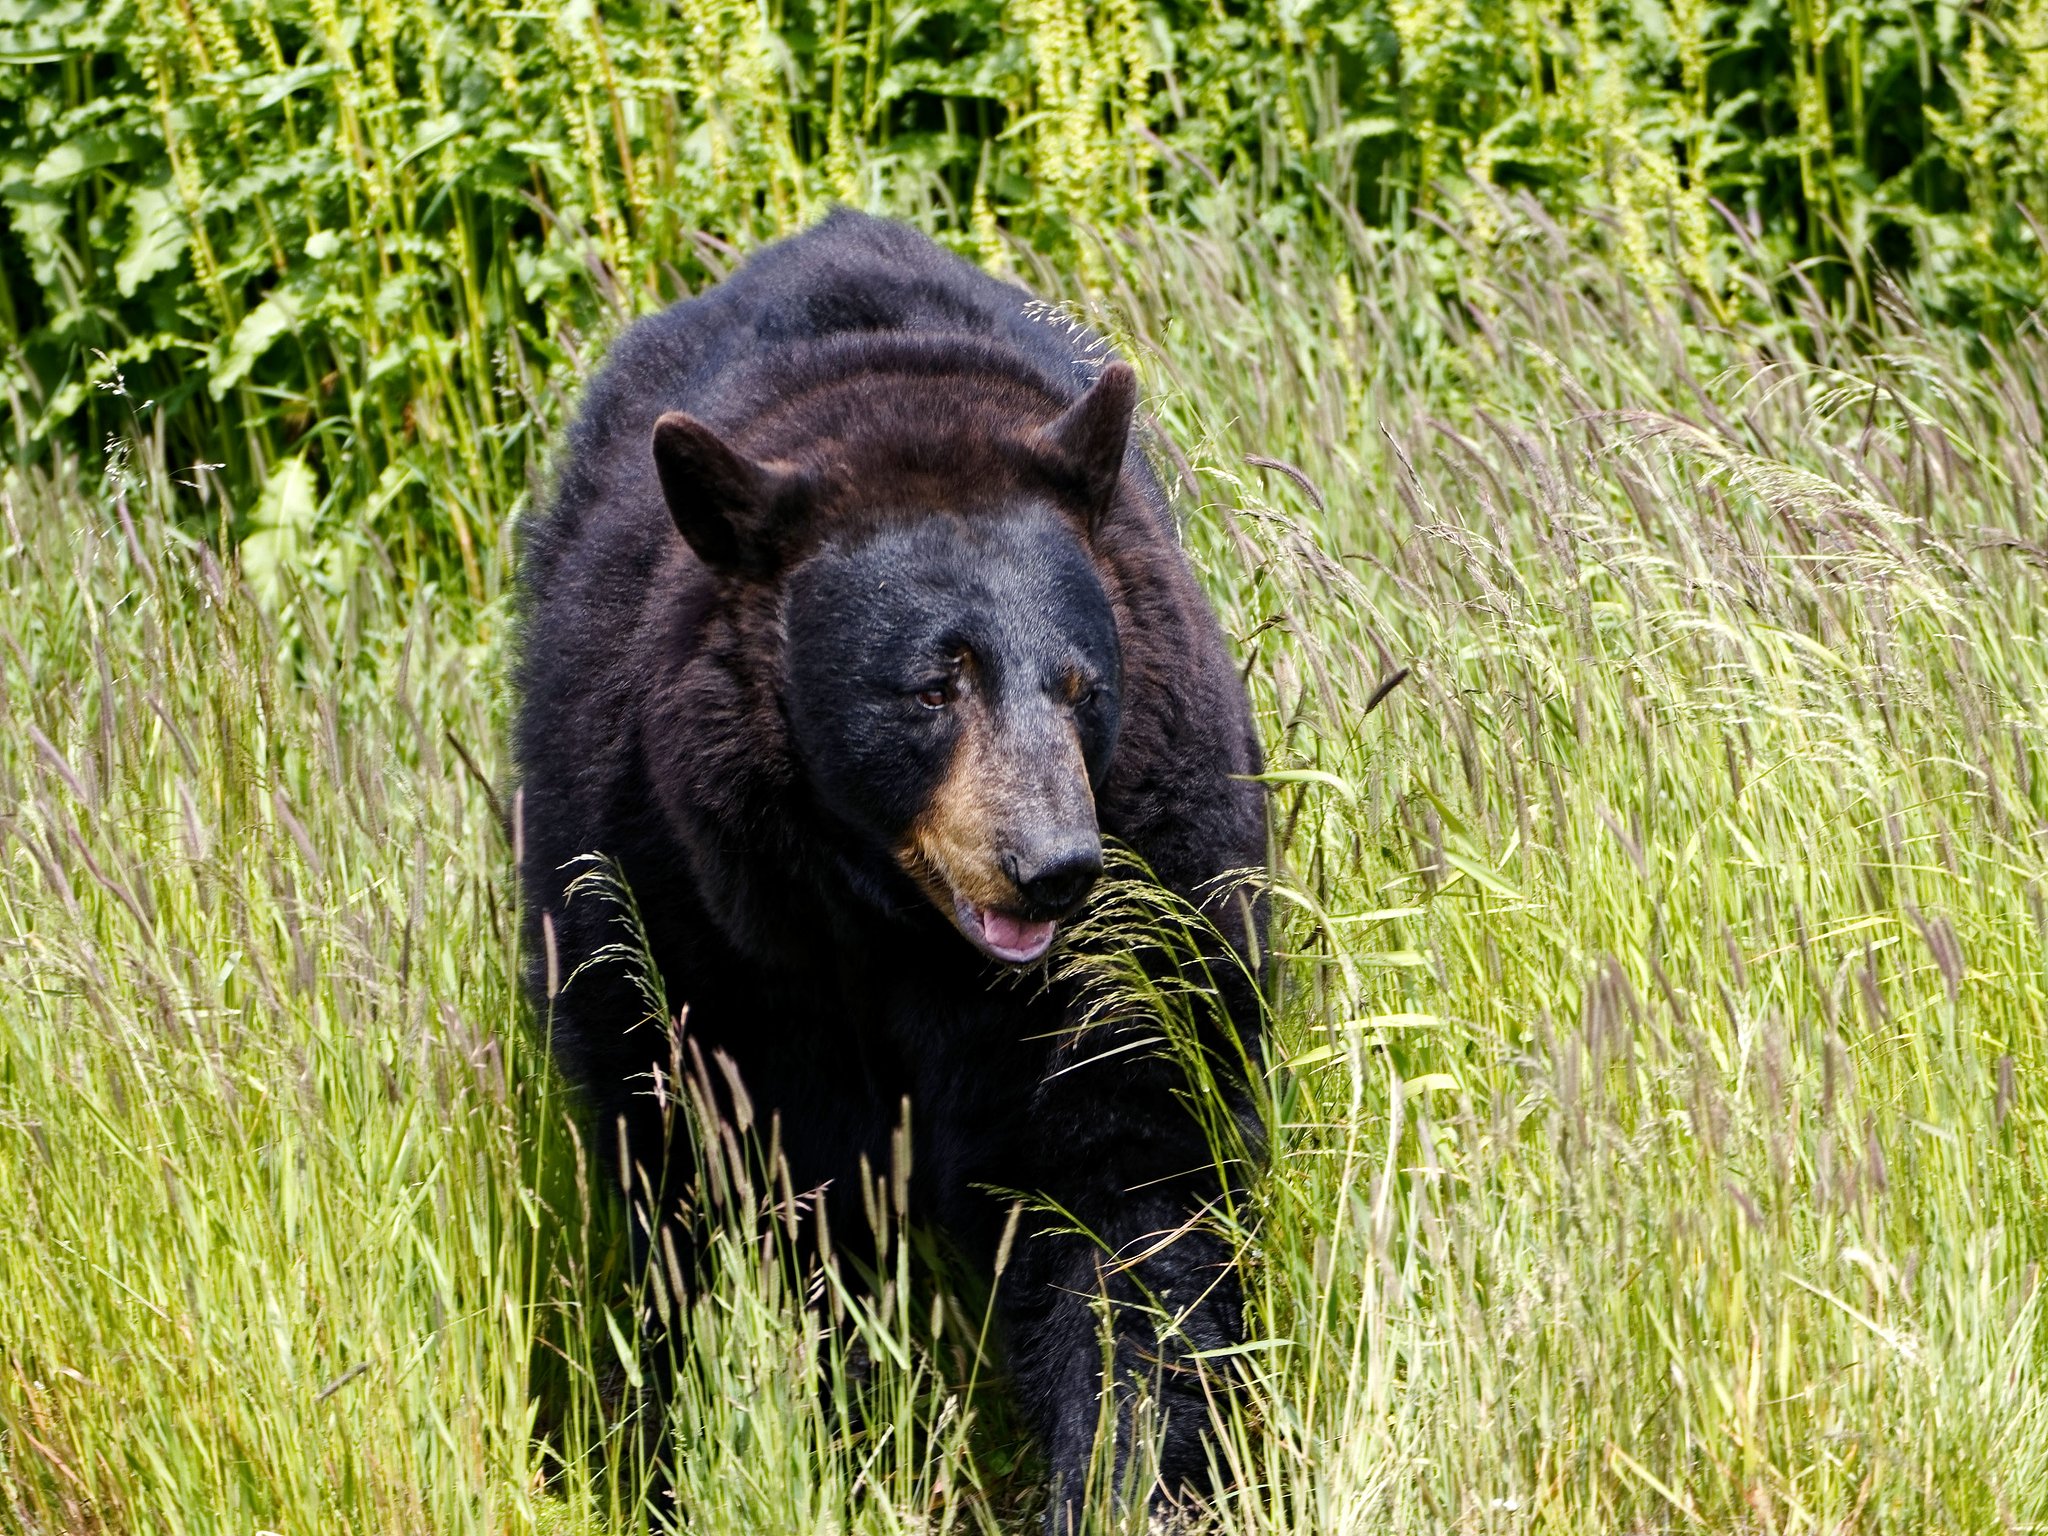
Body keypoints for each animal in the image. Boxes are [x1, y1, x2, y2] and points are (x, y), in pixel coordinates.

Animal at [512, 209, 1267, 1527]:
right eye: (931, 685)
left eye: (1080, 684)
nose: (1052, 867)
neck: (900, 939)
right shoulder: (699, 930)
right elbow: (744, 1224)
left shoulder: (1147, 898)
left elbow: (1130, 1183)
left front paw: (1123, 1476)